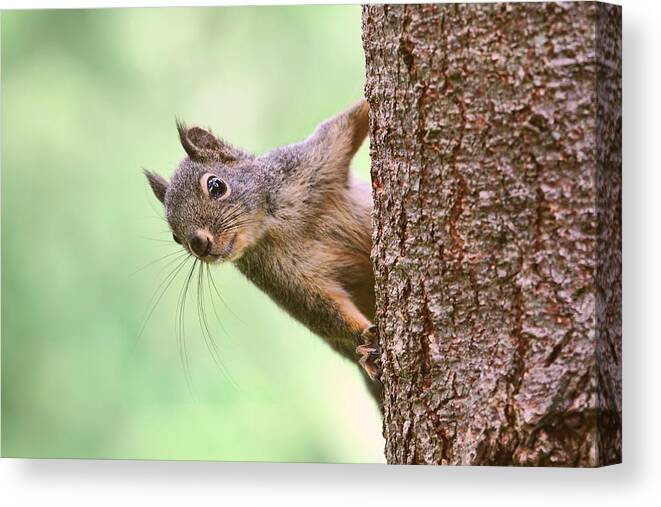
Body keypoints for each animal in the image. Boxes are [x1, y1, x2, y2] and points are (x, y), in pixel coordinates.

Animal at [144, 100, 382, 404]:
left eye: (216, 185)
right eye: (176, 237)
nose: (199, 245)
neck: (274, 222)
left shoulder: (311, 158)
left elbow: (348, 124)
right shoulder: (279, 276)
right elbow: (322, 308)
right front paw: (364, 338)